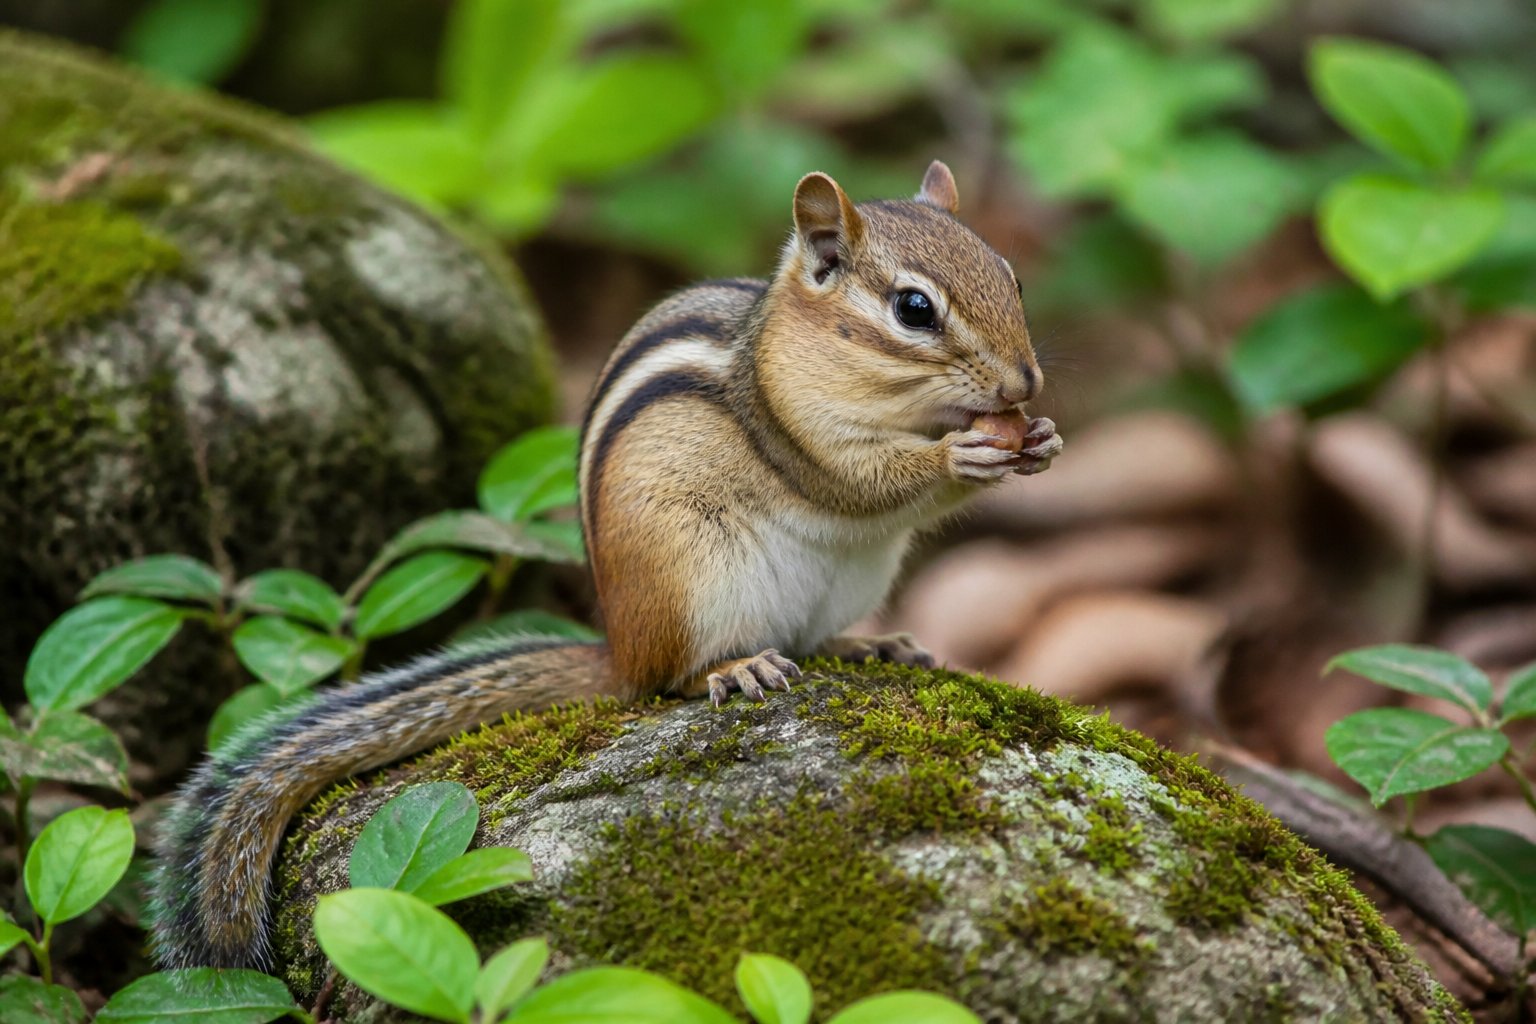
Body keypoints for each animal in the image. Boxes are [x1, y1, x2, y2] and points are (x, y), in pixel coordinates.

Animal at [148, 160, 1063, 971]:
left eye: (1013, 277)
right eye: (914, 309)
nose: (1027, 382)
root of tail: (617, 648)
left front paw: (1041, 440)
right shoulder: (800, 434)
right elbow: (865, 480)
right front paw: (960, 455)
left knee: (809, 640)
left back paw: (865, 645)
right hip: (695, 579)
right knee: (669, 682)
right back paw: (732, 670)